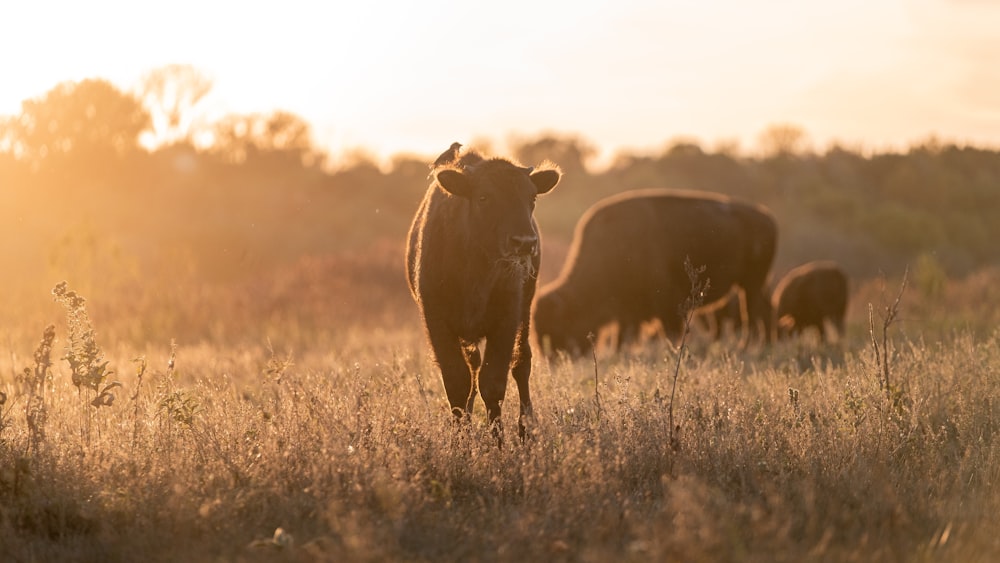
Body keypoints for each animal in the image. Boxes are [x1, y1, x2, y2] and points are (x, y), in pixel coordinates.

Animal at [408, 145, 564, 440]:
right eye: (483, 197)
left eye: (532, 197)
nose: (524, 242)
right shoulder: (437, 321)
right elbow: (458, 382)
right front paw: (461, 439)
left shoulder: (506, 321)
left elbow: (493, 384)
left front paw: (498, 440)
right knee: (473, 367)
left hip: (525, 312)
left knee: (521, 363)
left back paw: (526, 428)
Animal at [536, 189, 776, 356]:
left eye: (560, 323)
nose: (553, 358)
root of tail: (767, 217)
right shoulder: (627, 311)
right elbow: (622, 334)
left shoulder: (665, 305)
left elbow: (665, 330)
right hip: (752, 284)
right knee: (762, 310)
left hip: (751, 283)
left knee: (751, 312)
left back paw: (748, 346)